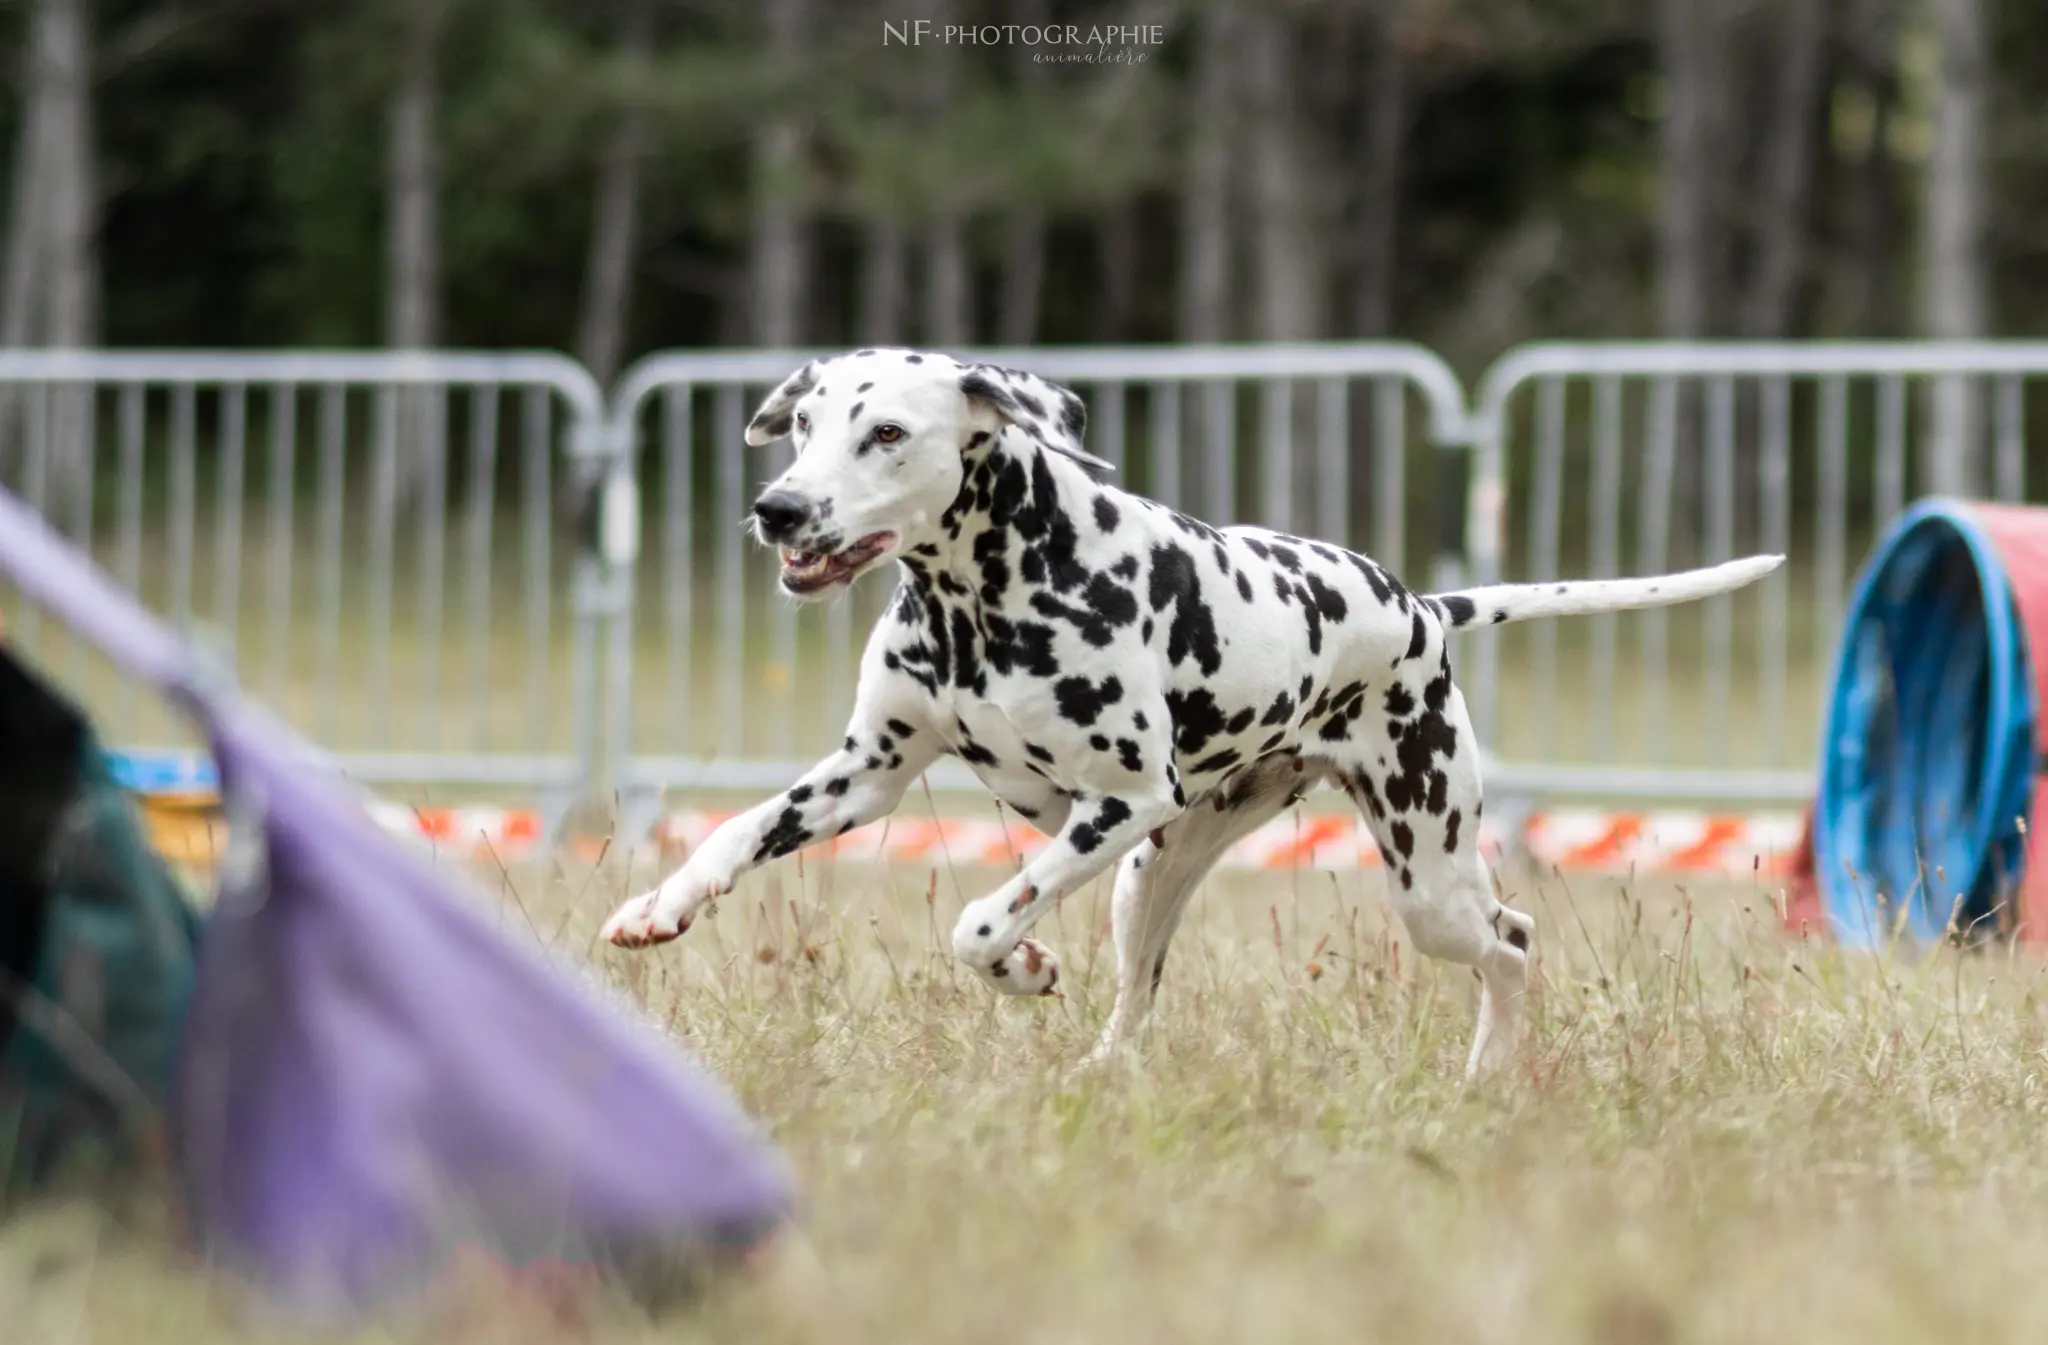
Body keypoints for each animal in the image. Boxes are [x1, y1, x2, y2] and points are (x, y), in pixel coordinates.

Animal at [598, 348, 1785, 1080]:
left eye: (886, 432)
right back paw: (1101, 1073)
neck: (984, 594)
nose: (778, 507)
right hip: (1149, 879)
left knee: (1512, 940)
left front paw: (1021, 966)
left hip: (1421, 878)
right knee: (1137, 996)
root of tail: (1417, 605)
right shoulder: (867, 773)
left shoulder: (1118, 801)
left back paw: (1485, 1077)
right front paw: (660, 905)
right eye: (801, 424)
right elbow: (734, 831)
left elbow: (980, 920)